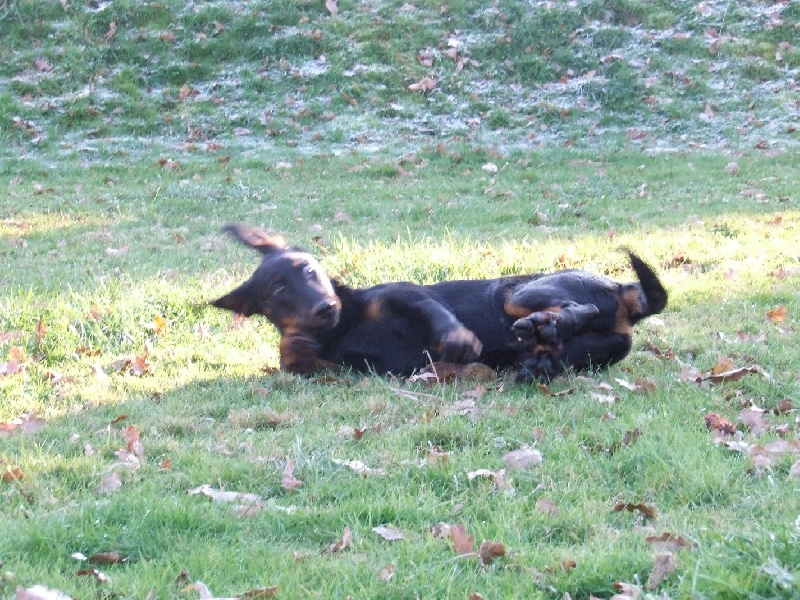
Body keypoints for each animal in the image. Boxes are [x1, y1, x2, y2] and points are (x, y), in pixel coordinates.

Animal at [209, 223, 664, 382]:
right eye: (278, 291)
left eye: (308, 270)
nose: (324, 307)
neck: (342, 325)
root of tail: (626, 294)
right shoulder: (306, 360)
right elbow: (297, 357)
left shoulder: (407, 292)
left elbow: (437, 314)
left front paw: (458, 340)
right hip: (596, 348)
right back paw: (542, 354)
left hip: (516, 293)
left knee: (576, 310)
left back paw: (550, 325)